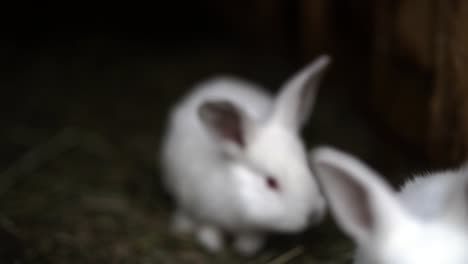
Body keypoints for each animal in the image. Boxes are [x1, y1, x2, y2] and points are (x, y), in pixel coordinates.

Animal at [159, 54, 330, 255]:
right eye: (271, 182)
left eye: (307, 167)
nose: (313, 214)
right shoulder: (203, 210)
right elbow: (208, 227)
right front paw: (212, 244)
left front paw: (246, 248)